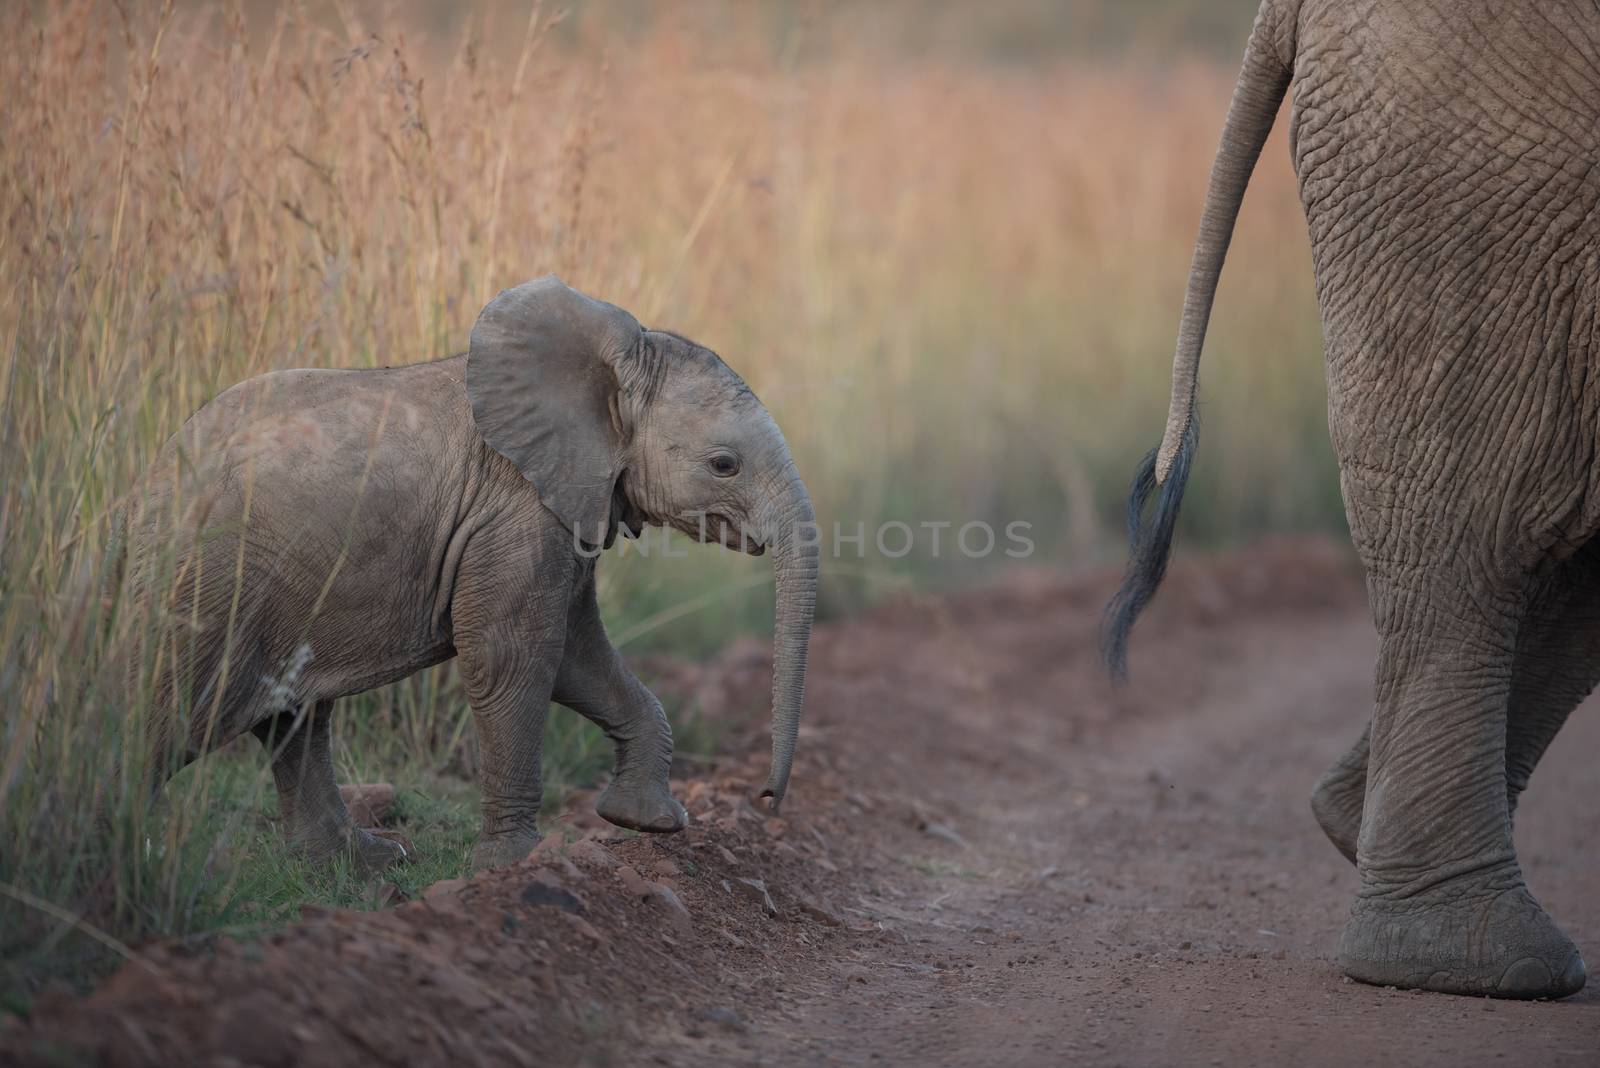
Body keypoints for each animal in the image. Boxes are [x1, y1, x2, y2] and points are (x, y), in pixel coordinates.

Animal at [123, 274, 819, 869]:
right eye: (724, 464)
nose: (766, 799)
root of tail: (146, 484)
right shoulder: (515, 507)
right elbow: (513, 655)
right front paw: (517, 865)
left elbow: (575, 656)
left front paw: (648, 822)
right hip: (206, 583)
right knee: (174, 712)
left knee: (293, 718)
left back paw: (361, 863)